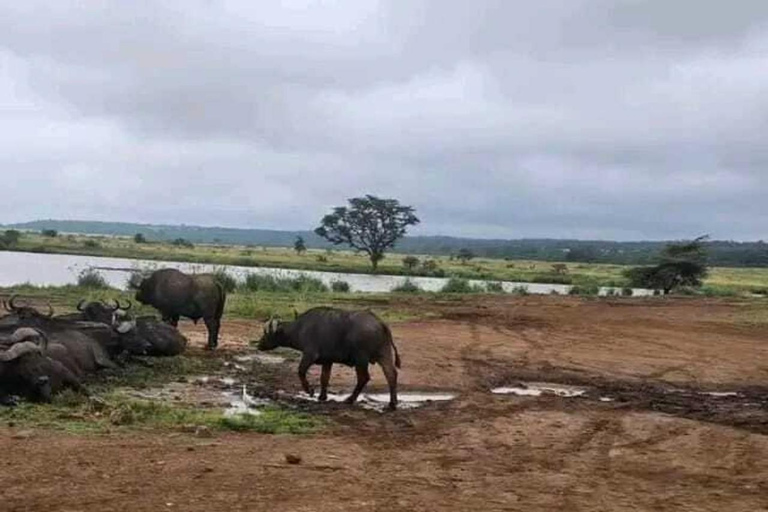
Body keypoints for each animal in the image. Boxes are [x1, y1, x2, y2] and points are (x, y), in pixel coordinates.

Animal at [258, 306, 402, 410]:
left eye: (266, 334)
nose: (259, 345)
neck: (300, 328)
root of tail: (380, 322)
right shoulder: (327, 361)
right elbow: (324, 378)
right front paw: (322, 396)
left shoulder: (310, 354)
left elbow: (301, 371)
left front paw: (310, 391)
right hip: (384, 355)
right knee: (391, 374)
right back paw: (392, 403)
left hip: (361, 359)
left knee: (364, 378)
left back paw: (350, 399)